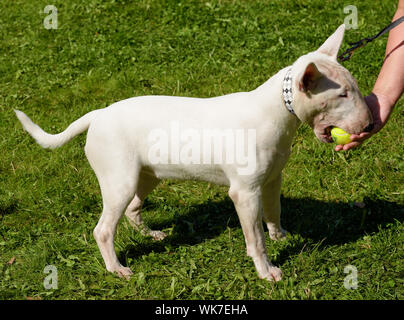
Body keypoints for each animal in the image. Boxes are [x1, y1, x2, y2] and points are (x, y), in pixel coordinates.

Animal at [15, 23, 372, 282]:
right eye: (342, 94)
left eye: (352, 86)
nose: (369, 124)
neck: (276, 111)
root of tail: (98, 114)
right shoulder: (244, 193)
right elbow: (255, 238)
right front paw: (267, 271)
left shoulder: (272, 181)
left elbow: (274, 212)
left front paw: (281, 236)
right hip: (119, 180)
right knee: (103, 229)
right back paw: (116, 268)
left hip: (146, 175)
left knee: (132, 209)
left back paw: (152, 234)